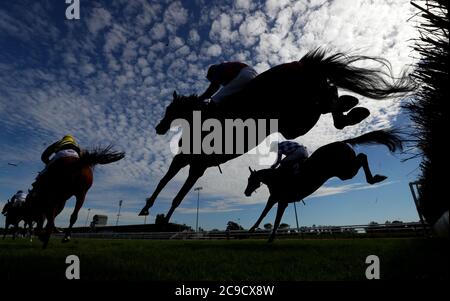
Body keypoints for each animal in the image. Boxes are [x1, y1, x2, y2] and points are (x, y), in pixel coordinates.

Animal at [139, 49, 414, 221]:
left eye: (169, 109)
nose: (159, 128)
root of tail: (301, 64)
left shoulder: (196, 166)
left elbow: (175, 194)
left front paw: (160, 219)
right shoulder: (187, 161)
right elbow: (165, 184)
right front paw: (148, 208)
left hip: (296, 119)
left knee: (329, 100)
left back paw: (353, 110)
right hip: (298, 117)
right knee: (331, 97)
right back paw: (355, 107)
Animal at [244, 129, 402, 241]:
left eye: (250, 180)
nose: (246, 192)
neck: (275, 177)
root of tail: (342, 142)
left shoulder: (282, 201)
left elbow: (275, 219)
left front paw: (267, 237)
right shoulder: (275, 198)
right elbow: (264, 213)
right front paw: (253, 230)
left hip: (345, 171)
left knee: (363, 157)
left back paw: (375, 178)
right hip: (344, 172)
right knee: (362, 157)